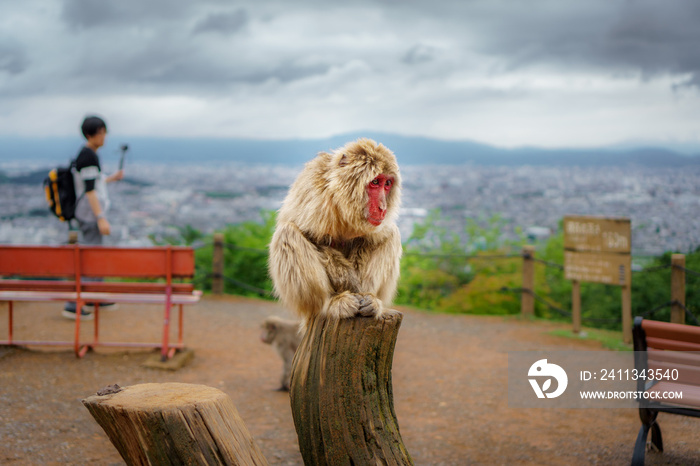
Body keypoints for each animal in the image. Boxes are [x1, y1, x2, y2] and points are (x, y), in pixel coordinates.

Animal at [268, 138, 402, 328]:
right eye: (375, 182)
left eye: (387, 184)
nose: (383, 208)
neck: (341, 201)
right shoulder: (316, 197)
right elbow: (313, 238)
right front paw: (349, 282)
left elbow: (376, 238)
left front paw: (362, 292)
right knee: (287, 233)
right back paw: (328, 304)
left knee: (392, 234)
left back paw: (371, 300)